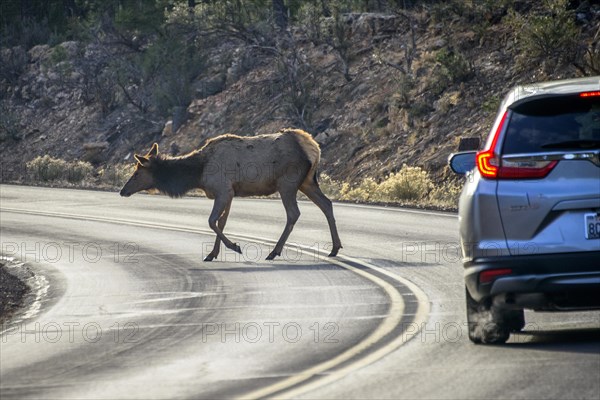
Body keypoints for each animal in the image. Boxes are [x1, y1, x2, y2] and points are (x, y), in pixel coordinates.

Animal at [119, 126, 342, 260]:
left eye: (137, 173)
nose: (123, 191)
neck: (198, 173)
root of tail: (314, 148)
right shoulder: (231, 192)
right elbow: (222, 222)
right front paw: (212, 253)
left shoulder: (223, 189)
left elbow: (212, 221)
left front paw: (234, 246)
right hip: (307, 182)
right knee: (327, 204)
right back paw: (334, 248)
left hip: (287, 182)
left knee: (294, 213)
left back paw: (274, 251)